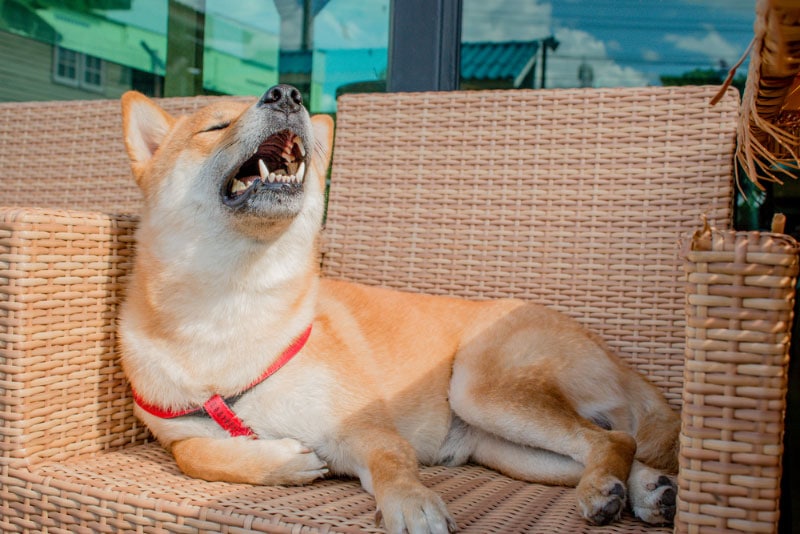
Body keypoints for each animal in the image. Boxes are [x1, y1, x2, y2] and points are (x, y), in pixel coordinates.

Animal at [119, 86, 680, 532]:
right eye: (216, 126)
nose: (288, 95)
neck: (233, 307)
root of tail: (614, 357)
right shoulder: (176, 428)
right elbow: (194, 454)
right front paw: (281, 460)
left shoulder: (366, 431)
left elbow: (394, 467)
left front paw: (412, 504)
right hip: (509, 451)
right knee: (614, 444)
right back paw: (648, 491)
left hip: (479, 389)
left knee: (614, 440)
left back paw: (607, 490)